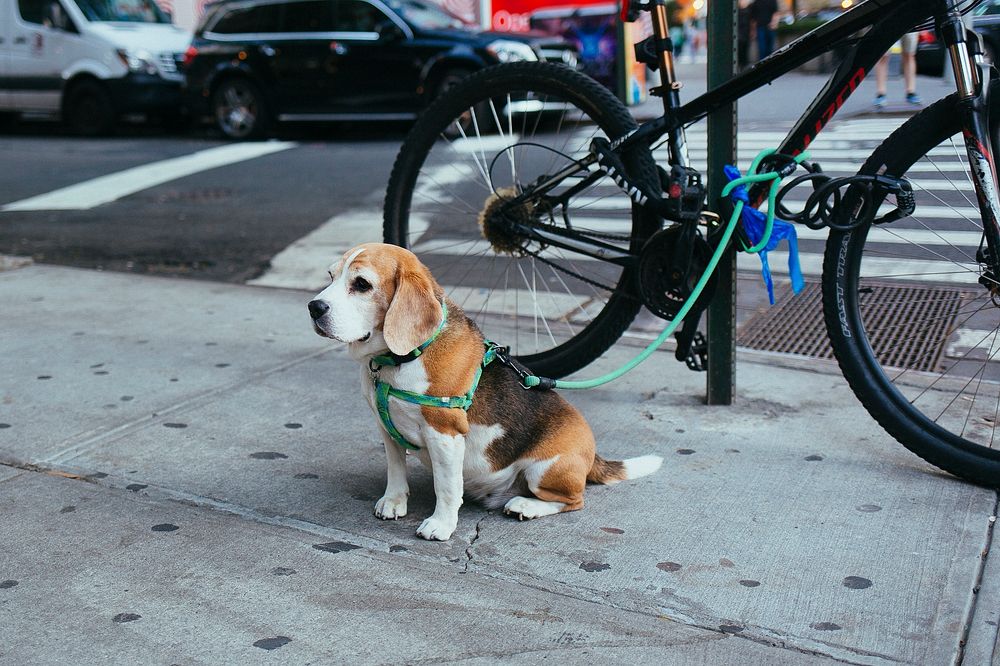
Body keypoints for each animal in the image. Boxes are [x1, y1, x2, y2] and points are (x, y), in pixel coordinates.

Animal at [308, 244, 660, 540]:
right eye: (330, 276)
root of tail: (592, 453)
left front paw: (440, 524)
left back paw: (526, 506)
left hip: (545, 469)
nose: (314, 307)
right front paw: (394, 501)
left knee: (575, 500)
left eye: (362, 284)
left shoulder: (445, 434)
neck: (400, 359)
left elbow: (447, 486)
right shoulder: (386, 427)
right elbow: (396, 469)